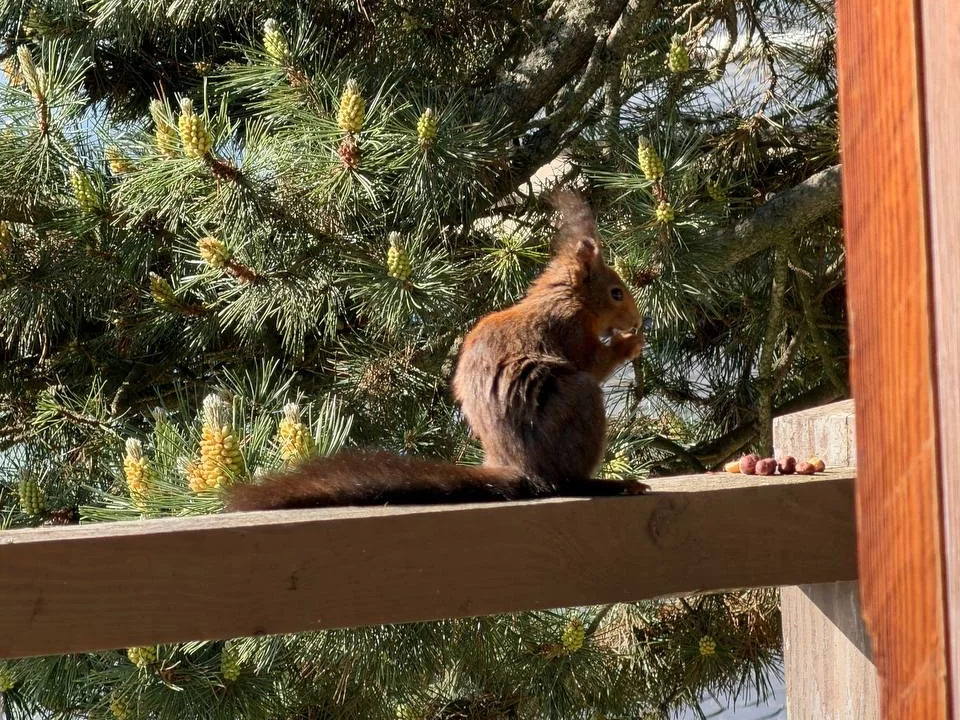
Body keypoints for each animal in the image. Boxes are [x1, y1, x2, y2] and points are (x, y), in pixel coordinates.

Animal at [225, 191, 647, 512]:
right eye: (616, 293)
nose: (637, 320)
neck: (562, 298)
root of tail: (521, 469)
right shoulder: (569, 332)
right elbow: (594, 363)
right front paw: (629, 343)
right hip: (577, 407)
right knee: (568, 481)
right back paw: (609, 485)